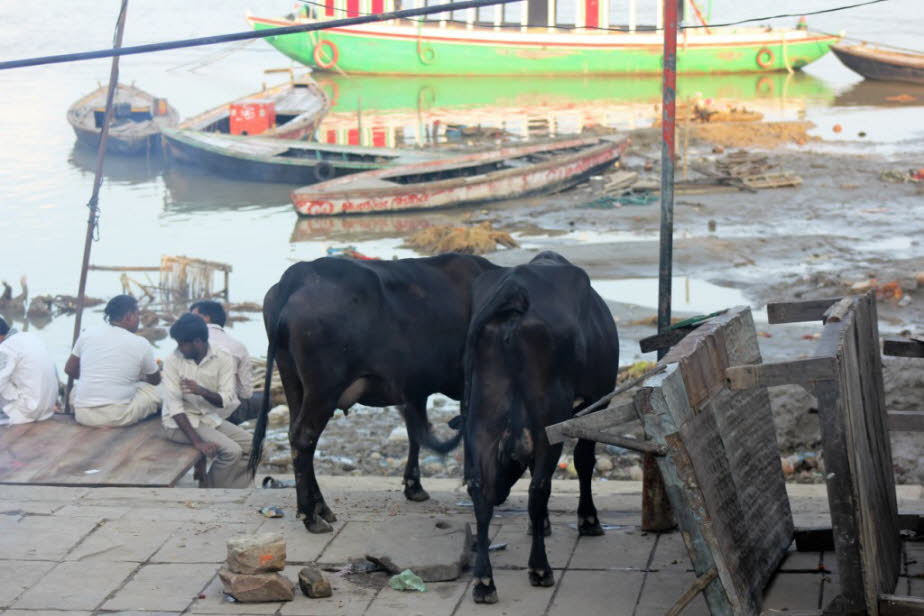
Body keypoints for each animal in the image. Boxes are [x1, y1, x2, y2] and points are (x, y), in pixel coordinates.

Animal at [249, 255, 498, 536]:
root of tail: (300, 272)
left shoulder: (415, 388)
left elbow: (415, 432)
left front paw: (413, 486)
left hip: (292, 380)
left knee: (296, 435)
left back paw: (320, 507)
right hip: (323, 389)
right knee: (304, 438)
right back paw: (311, 516)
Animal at [462, 253, 620, 604]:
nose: (503, 495)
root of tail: (515, 289)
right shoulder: (596, 400)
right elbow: (583, 461)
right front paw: (588, 519)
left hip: (483, 413)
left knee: (480, 489)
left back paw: (484, 581)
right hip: (550, 415)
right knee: (538, 489)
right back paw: (540, 568)